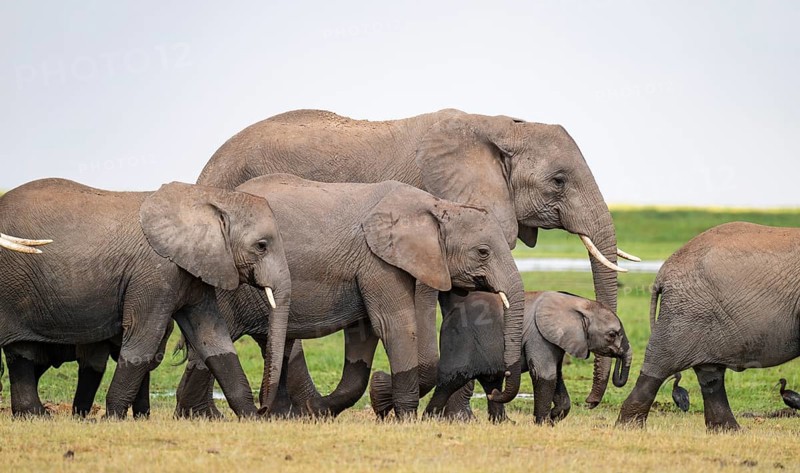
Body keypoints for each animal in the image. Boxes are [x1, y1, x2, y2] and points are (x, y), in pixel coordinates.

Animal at [0, 178, 291, 418]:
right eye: (261, 246)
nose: (264, 408)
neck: (205, 198)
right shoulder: (155, 273)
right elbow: (143, 340)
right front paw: (112, 419)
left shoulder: (193, 270)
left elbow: (214, 339)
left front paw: (250, 419)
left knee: (21, 352)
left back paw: (34, 415)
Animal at [174, 174, 525, 419]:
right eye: (482, 252)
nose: (497, 389)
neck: (438, 206)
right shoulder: (377, 261)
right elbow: (393, 325)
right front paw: (404, 417)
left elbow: (364, 335)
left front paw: (330, 408)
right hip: (225, 283)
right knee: (215, 338)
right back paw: (203, 417)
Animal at [425, 291, 631, 424]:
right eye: (612, 334)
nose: (589, 404)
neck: (577, 303)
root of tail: (448, 315)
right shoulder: (538, 336)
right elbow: (544, 374)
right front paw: (543, 423)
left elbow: (556, 375)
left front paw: (554, 417)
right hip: (459, 340)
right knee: (452, 379)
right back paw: (428, 419)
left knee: (492, 382)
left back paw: (504, 422)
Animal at [617, 222, 800, 431]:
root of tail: (662, 272)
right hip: (686, 312)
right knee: (660, 363)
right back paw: (628, 427)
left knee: (710, 375)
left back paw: (728, 431)